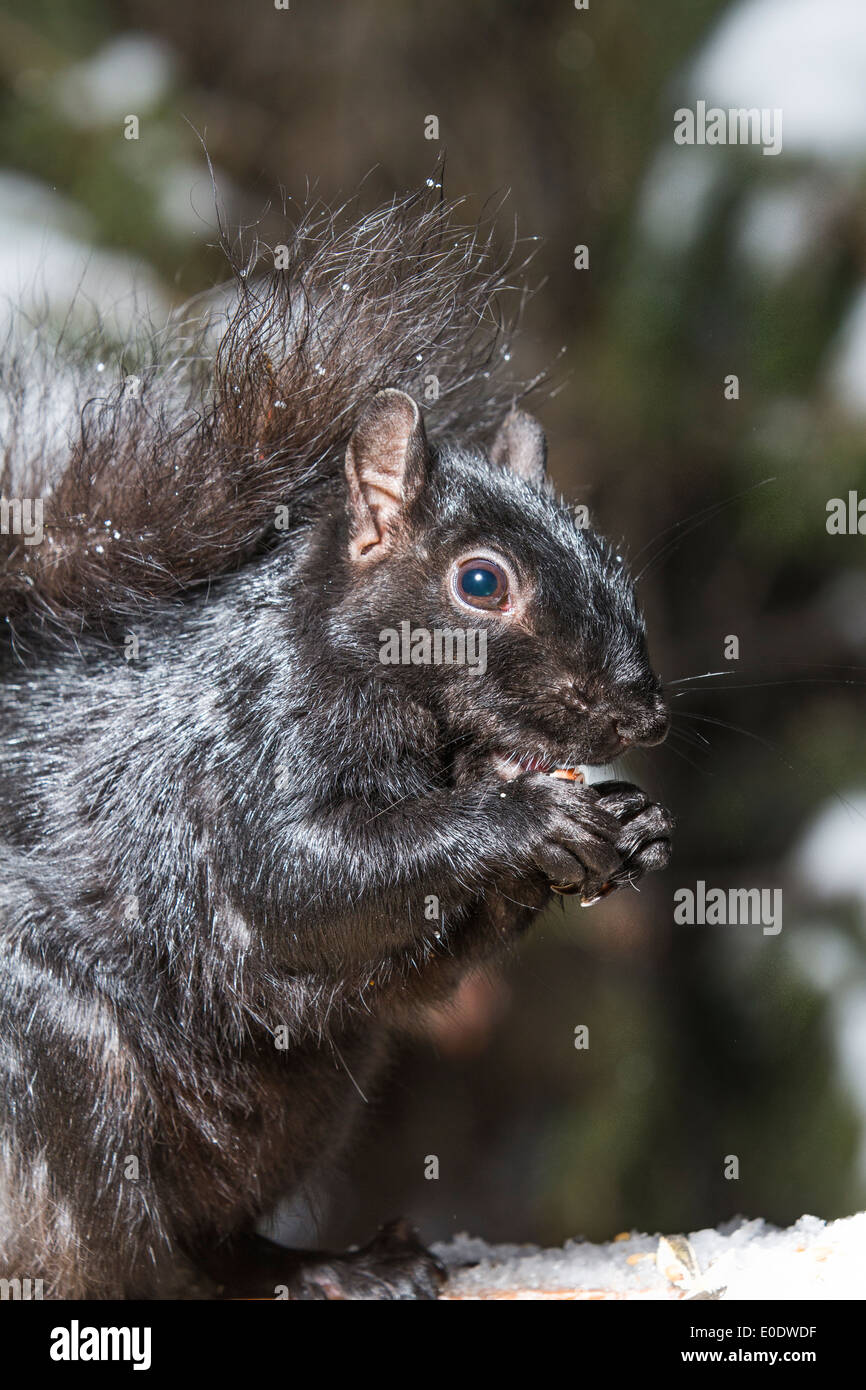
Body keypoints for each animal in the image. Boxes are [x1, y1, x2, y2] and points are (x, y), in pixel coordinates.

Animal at [0, 182, 672, 1299]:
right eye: (480, 582)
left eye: (610, 556)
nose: (638, 712)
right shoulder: (232, 770)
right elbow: (299, 884)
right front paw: (521, 816)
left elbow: (412, 972)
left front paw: (631, 821)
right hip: (60, 1069)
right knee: (129, 1255)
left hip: (304, 1107)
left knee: (214, 1230)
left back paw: (332, 1262)